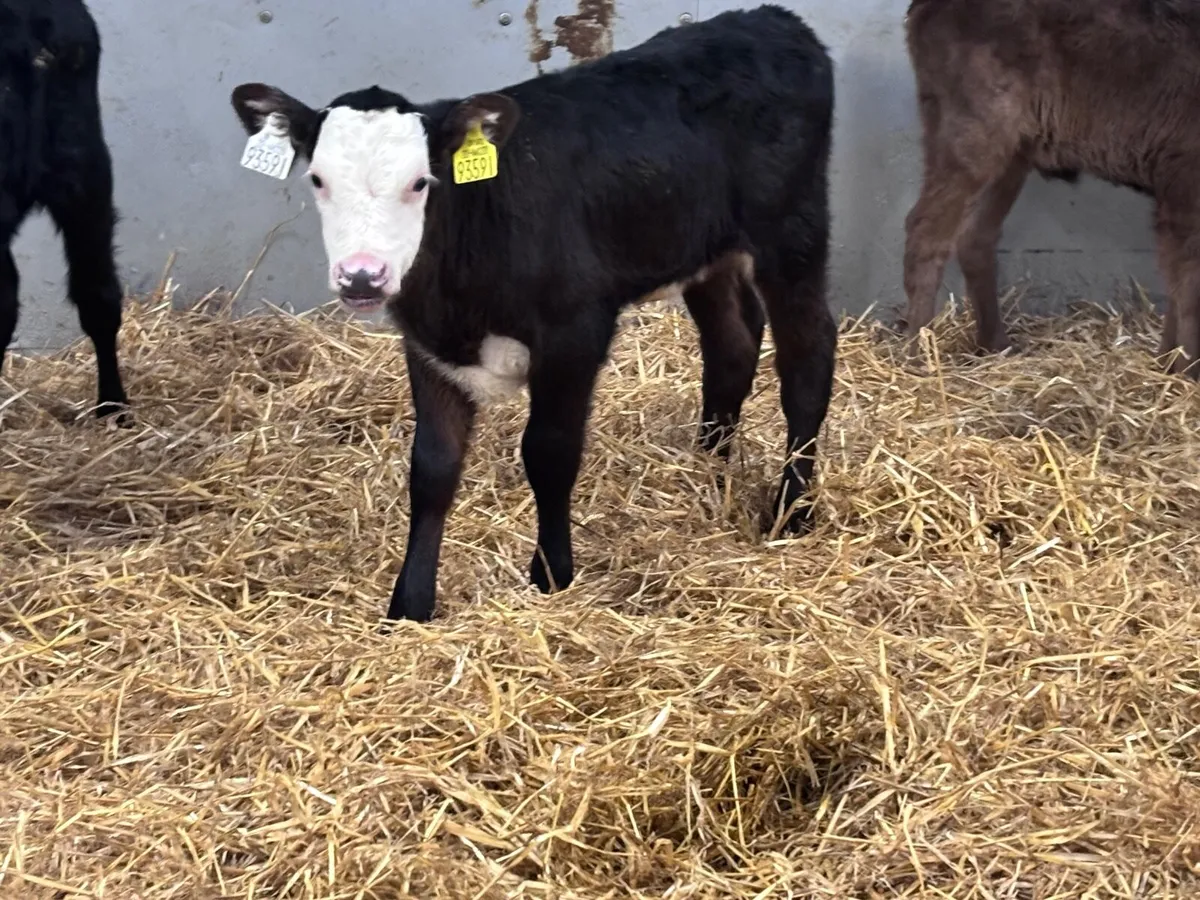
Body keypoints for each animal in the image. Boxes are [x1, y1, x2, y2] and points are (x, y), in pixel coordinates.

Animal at [230, 4, 837, 622]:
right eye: (317, 179)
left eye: (421, 182)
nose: (361, 276)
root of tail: (769, 19)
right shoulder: (427, 344)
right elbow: (432, 467)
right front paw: (411, 602)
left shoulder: (575, 331)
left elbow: (548, 451)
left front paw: (550, 574)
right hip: (702, 250)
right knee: (731, 346)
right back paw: (707, 472)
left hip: (793, 233)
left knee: (807, 361)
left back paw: (792, 510)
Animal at [903, 0, 1200, 377]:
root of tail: (922, 8)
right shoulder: (1183, 177)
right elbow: (1188, 283)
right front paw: (1185, 369)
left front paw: (1168, 362)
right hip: (971, 137)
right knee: (925, 233)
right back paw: (916, 361)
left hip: (1013, 151)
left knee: (974, 236)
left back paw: (996, 345)